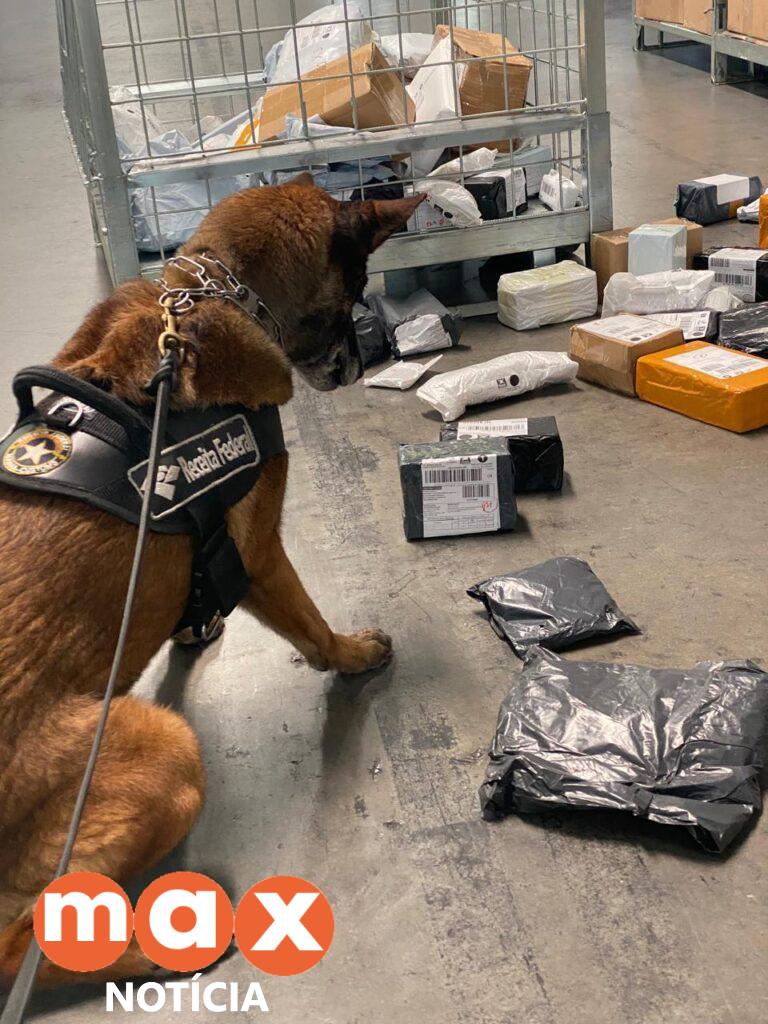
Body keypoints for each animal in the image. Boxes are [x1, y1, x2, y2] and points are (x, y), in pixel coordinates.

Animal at [0, 175, 424, 986]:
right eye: (356, 287)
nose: (356, 368)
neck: (213, 291)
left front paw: (195, 621)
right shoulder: (261, 554)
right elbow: (311, 625)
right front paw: (351, 654)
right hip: (165, 748)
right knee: (22, 948)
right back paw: (158, 949)